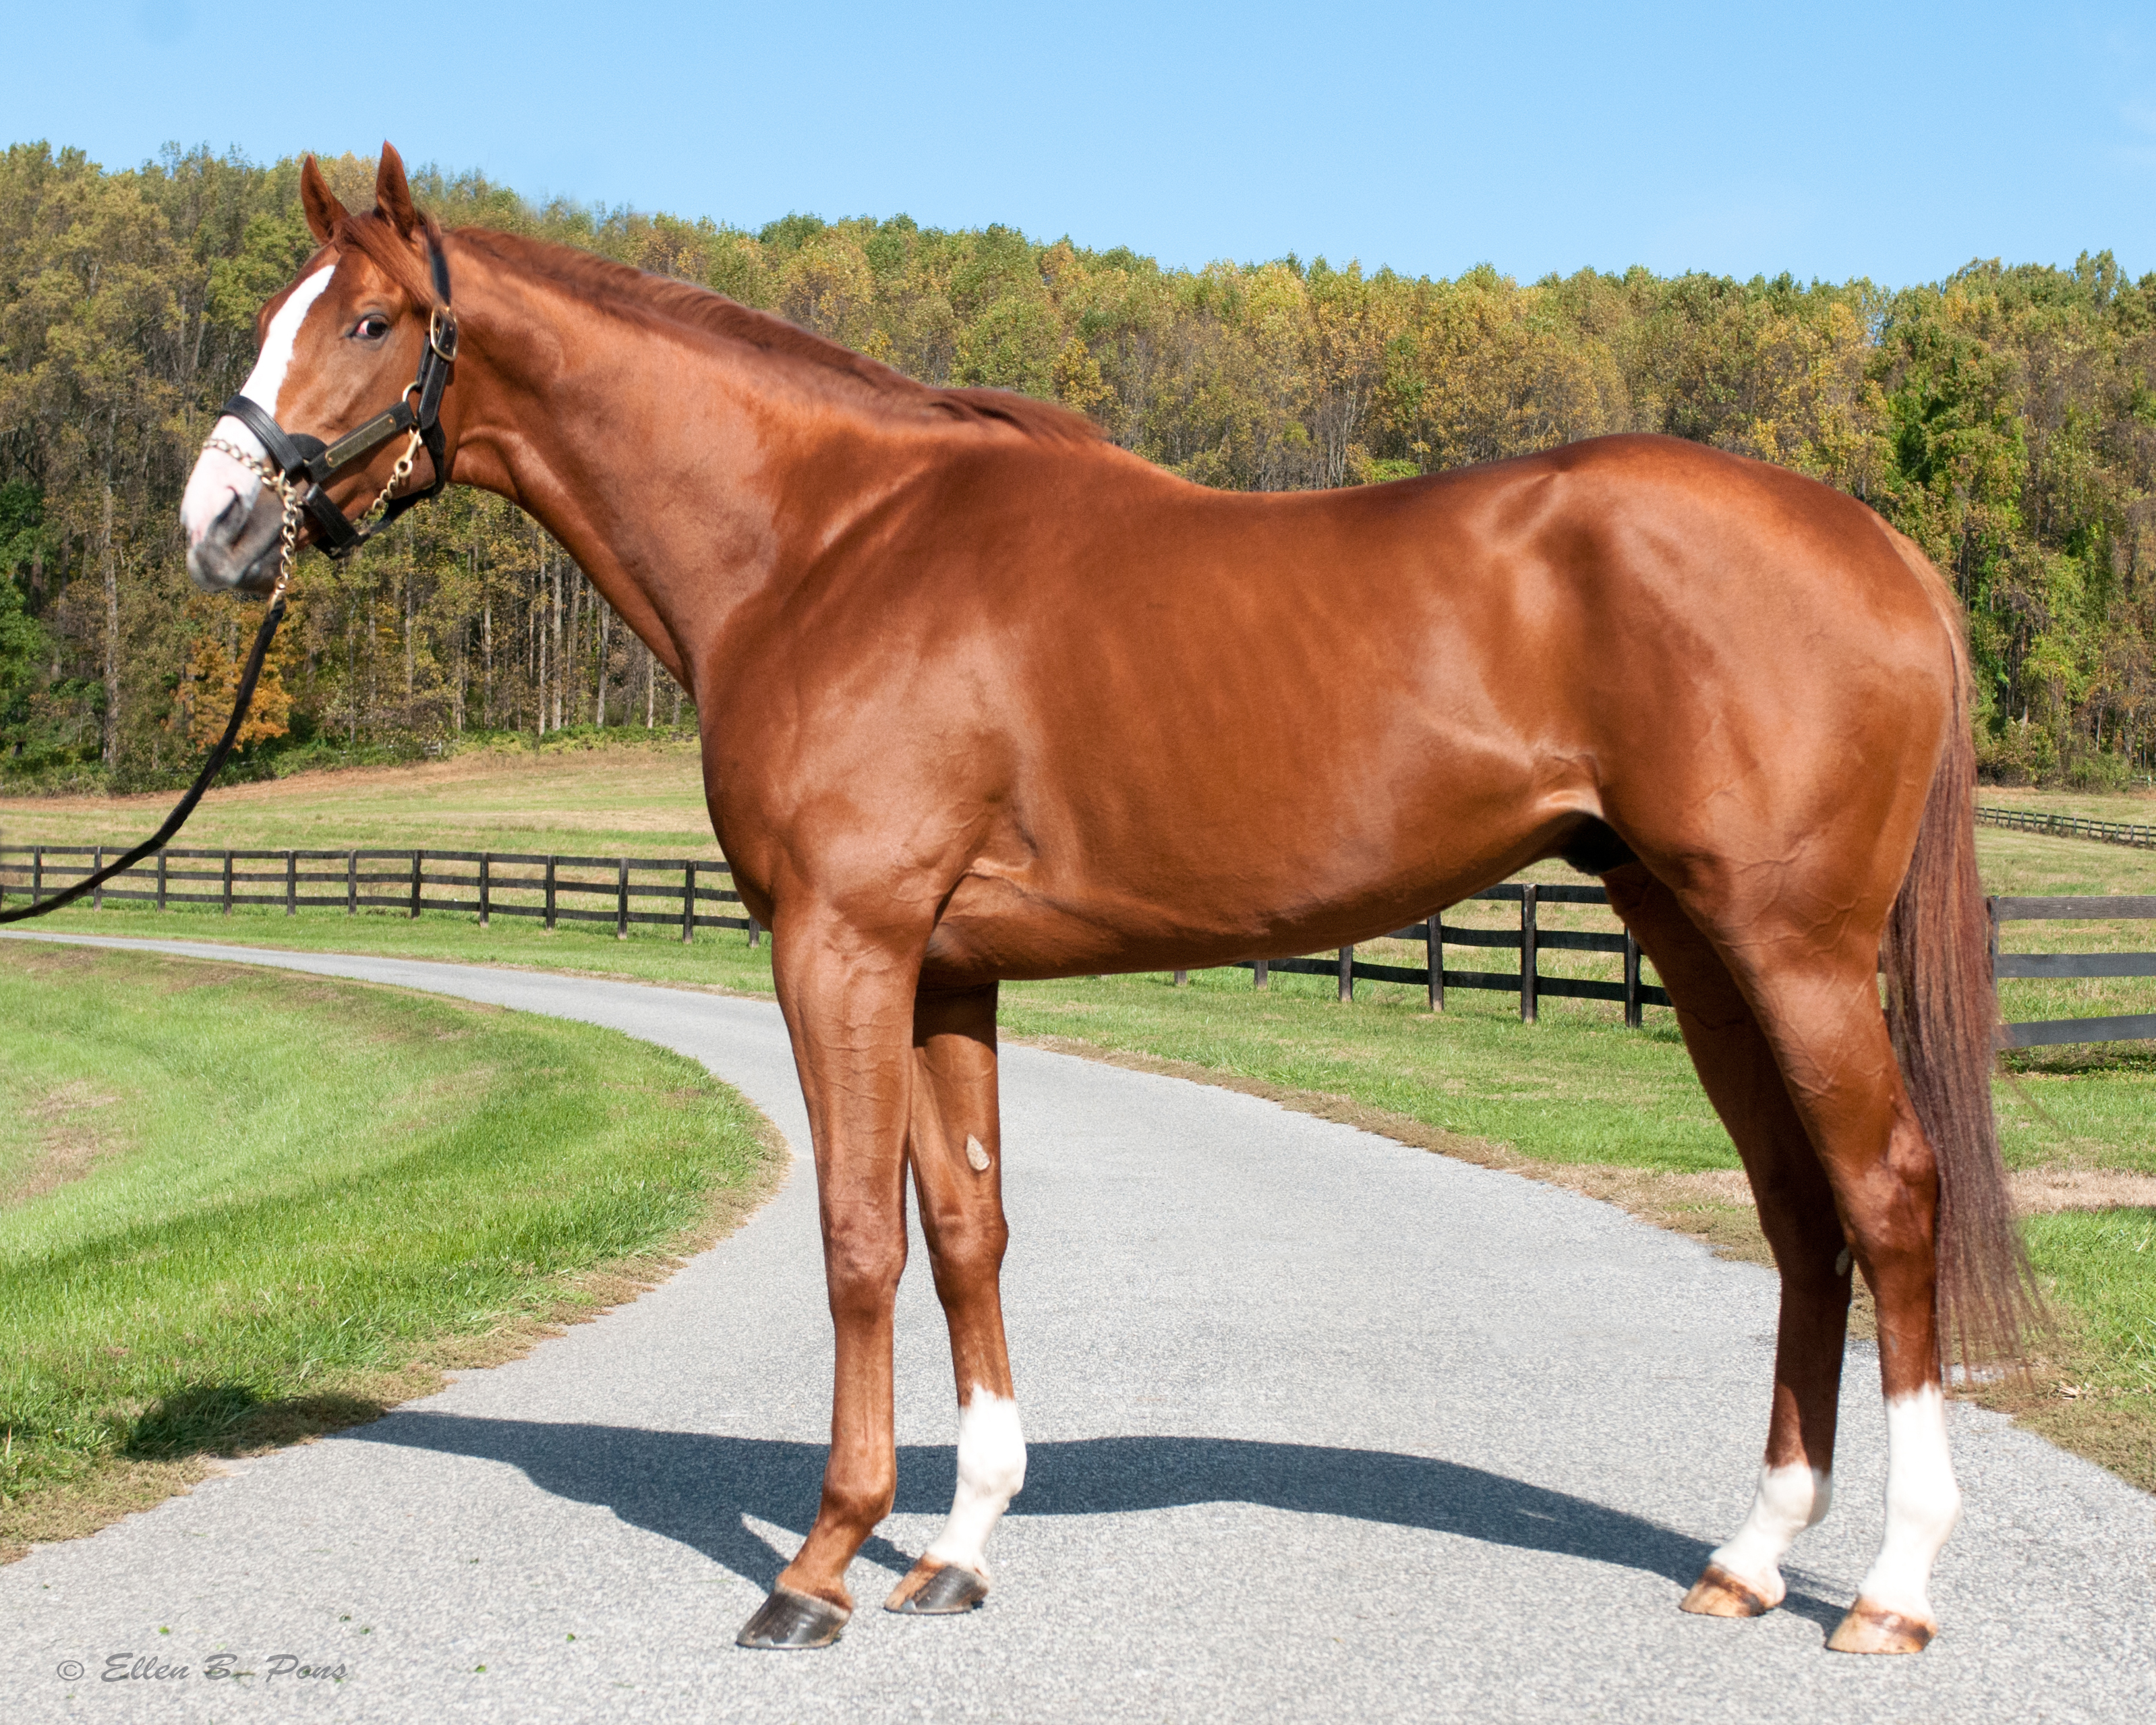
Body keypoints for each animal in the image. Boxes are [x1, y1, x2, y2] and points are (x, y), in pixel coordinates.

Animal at [181, 148, 2018, 1656]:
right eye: (281, 315)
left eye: (366, 319)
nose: (218, 520)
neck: (822, 545)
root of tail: (1877, 548)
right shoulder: (941, 970)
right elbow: (964, 1230)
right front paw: (954, 1547)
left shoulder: (839, 944)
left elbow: (855, 1238)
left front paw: (817, 1563)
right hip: (1692, 946)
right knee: (1795, 1217)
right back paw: (1748, 1558)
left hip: (1787, 952)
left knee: (1886, 1196)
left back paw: (1892, 1588)